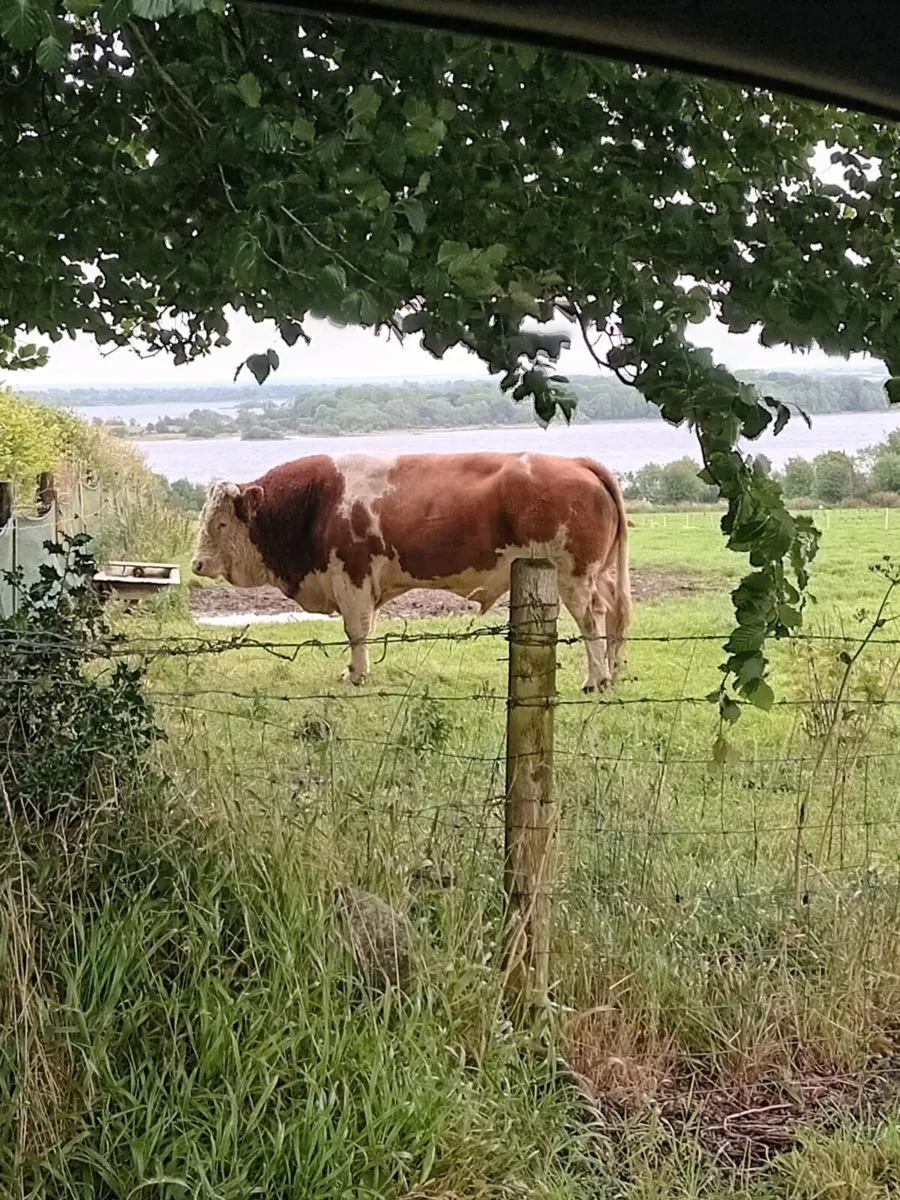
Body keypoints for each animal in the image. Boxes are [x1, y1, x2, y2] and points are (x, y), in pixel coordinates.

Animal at [191, 452, 631, 691]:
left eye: (222, 523)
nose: (197, 563)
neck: (320, 501)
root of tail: (576, 463)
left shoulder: (352, 577)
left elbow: (356, 631)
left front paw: (356, 675)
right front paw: (354, 671)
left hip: (573, 577)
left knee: (591, 619)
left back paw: (595, 679)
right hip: (599, 575)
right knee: (614, 613)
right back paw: (612, 672)